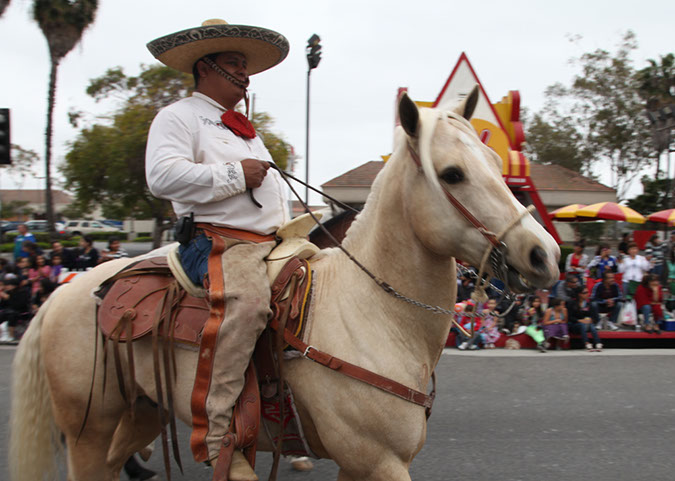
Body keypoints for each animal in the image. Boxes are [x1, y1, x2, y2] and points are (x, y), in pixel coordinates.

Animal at [9, 88, 560, 478]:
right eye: (451, 174)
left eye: (497, 164)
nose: (546, 254)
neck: (372, 313)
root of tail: (62, 292)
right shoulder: (378, 461)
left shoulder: (359, 466)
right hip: (90, 429)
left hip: (141, 411)